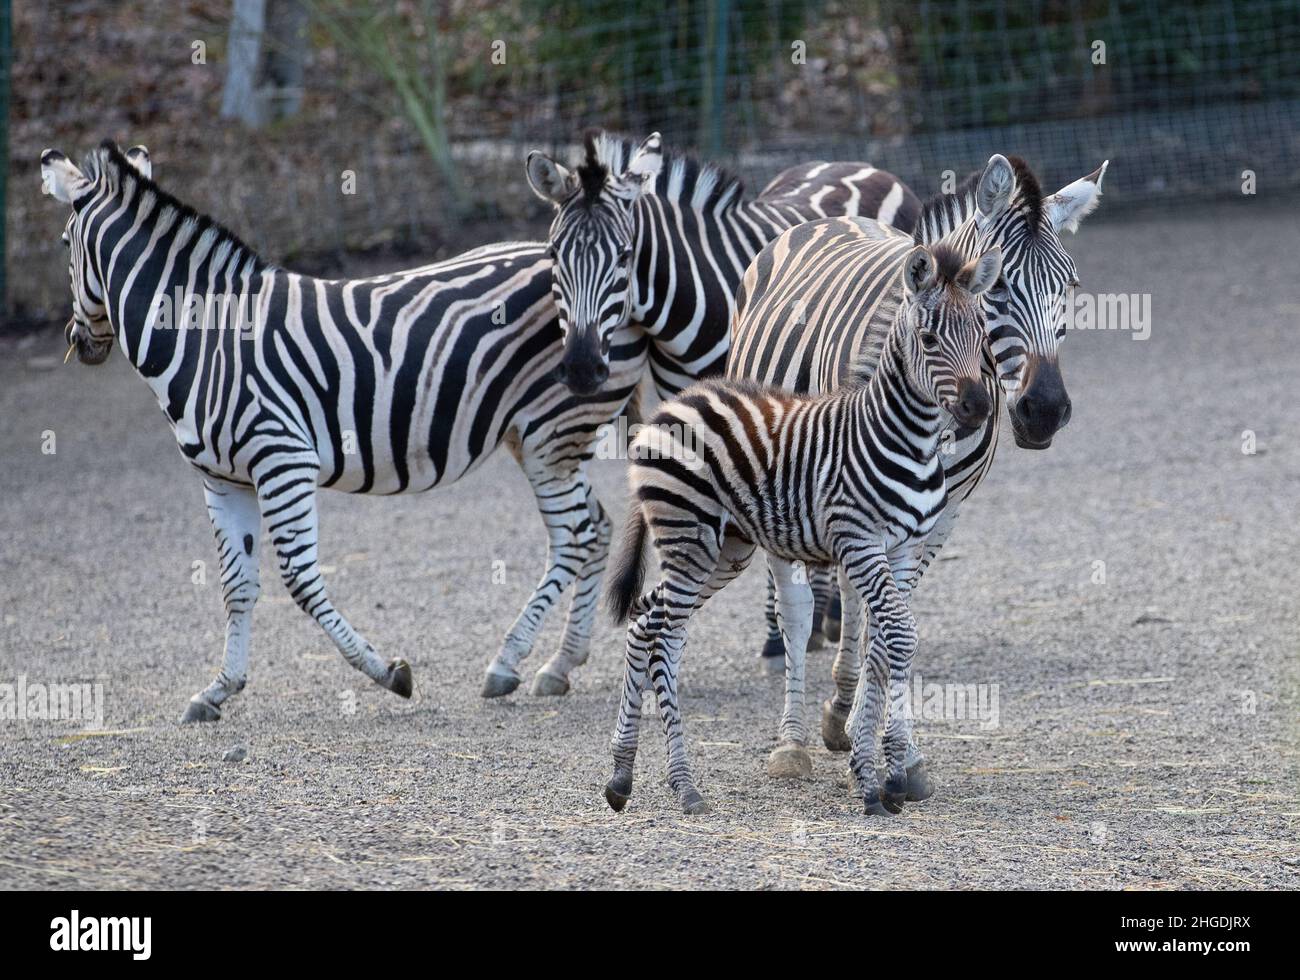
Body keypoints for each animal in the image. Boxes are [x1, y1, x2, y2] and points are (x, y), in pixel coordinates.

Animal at [40, 139, 650, 717]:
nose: (77, 340)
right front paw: (219, 689)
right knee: (597, 527)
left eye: (65, 244)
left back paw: (507, 663)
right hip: (542, 437)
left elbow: (300, 581)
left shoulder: (282, 460)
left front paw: (387, 673)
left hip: (553, 431)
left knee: (576, 535)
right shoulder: (223, 479)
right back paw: (560, 663)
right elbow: (238, 585)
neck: (207, 338)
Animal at [603, 240, 998, 811]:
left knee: (651, 626)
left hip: (722, 549)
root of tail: (669, 408)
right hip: (689, 539)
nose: (979, 406)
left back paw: (626, 776)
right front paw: (876, 777)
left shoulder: (902, 548)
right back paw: (679, 784)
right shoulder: (859, 541)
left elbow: (886, 639)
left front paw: (886, 770)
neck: (905, 437)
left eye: (983, 336)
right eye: (928, 340)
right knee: (660, 632)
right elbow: (898, 633)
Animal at [733, 156, 1107, 790]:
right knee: (796, 611)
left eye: (1071, 287)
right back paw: (792, 742)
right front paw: (864, 744)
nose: (1046, 410)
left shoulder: (941, 515)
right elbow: (866, 616)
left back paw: (840, 708)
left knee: (854, 597)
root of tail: (830, 219)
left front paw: (892, 749)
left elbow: (893, 622)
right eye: (998, 289)